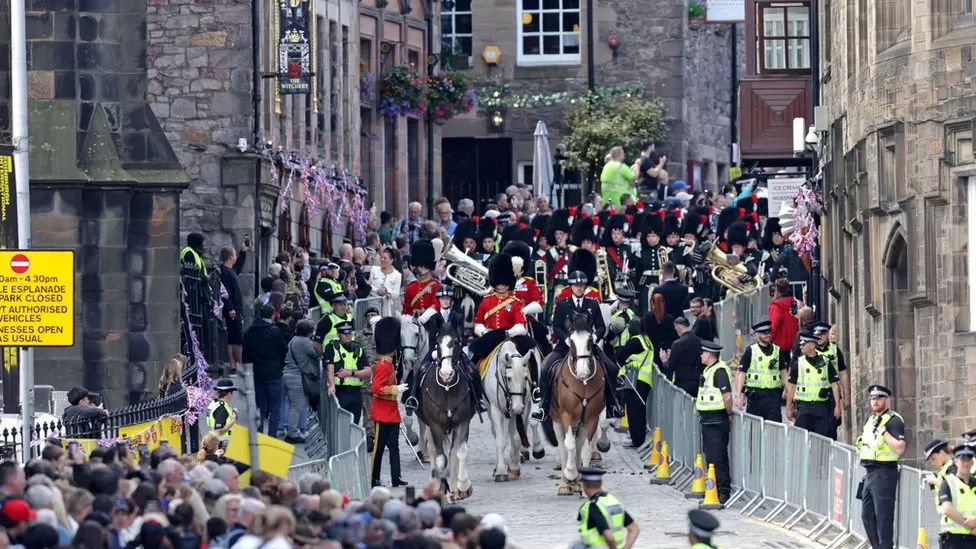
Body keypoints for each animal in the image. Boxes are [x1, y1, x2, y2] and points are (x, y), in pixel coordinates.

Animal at [484, 340, 536, 482]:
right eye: (509, 378)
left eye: (525, 378)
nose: (517, 407)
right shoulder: (496, 410)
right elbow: (500, 440)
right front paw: (501, 471)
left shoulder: (520, 410)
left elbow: (516, 438)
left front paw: (513, 468)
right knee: (497, 434)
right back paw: (497, 466)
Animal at [540, 312, 608, 496]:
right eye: (571, 341)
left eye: (590, 340)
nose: (583, 371)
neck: (582, 382)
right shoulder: (565, 415)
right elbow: (568, 445)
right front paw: (570, 474)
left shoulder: (591, 418)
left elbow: (584, 449)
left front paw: (583, 484)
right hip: (557, 420)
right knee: (563, 446)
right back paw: (566, 483)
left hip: (580, 422)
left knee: (578, 444)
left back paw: (577, 482)